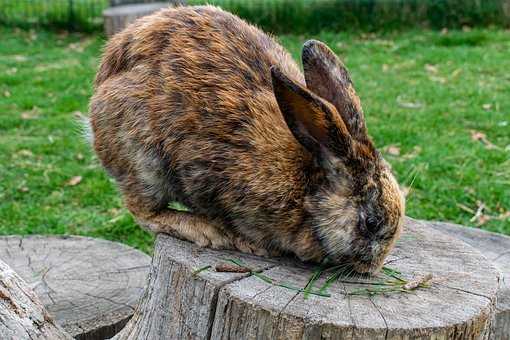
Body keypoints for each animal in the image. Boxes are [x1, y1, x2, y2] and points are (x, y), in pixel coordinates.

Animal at [88, 5, 406, 274]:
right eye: (371, 223)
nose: (374, 267)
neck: (307, 187)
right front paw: (247, 243)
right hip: (142, 156)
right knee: (143, 210)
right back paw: (206, 230)